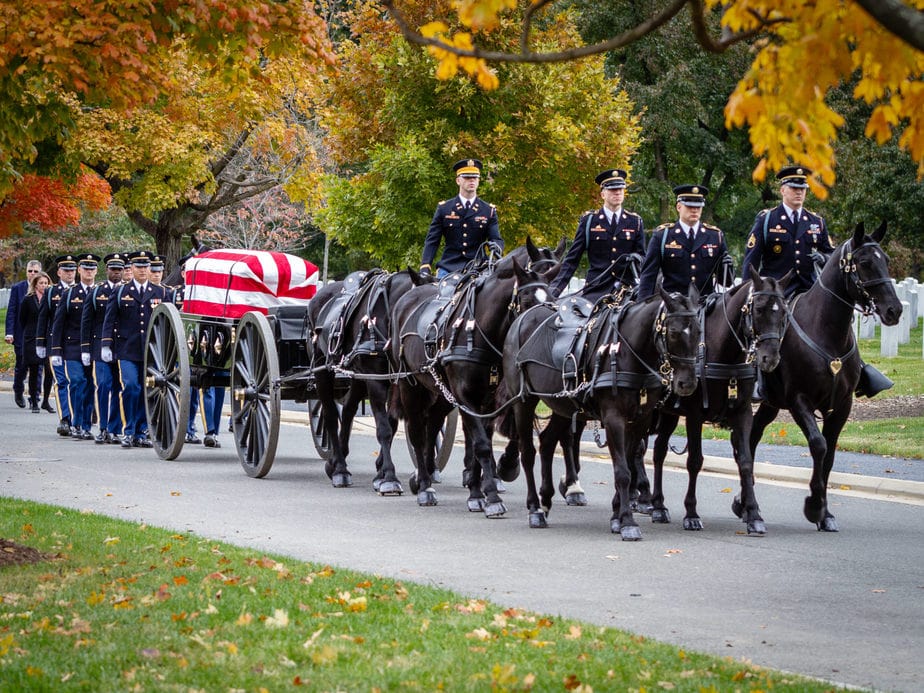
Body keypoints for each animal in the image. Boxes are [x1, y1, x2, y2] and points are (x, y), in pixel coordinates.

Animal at [390, 249, 556, 512]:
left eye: (552, 298)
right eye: (527, 301)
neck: (478, 330)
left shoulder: (489, 400)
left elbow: (479, 443)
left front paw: (478, 493)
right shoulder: (465, 397)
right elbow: (480, 445)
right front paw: (491, 497)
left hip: (441, 392)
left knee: (432, 425)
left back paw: (425, 475)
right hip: (410, 384)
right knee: (417, 431)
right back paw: (425, 486)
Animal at [502, 284, 696, 536]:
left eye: (699, 330)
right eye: (673, 332)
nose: (687, 383)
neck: (626, 351)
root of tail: (522, 318)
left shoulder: (640, 419)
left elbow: (628, 464)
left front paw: (617, 515)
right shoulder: (614, 418)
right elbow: (623, 472)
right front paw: (627, 521)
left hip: (563, 405)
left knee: (546, 442)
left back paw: (546, 500)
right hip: (523, 402)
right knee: (527, 452)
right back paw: (535, 508)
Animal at [644, 268, 796, 532]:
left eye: (784, 312)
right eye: (759, 309)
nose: (770, 358)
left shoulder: (743, 413)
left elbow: (745, 461)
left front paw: (753, 514)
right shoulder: (694, 415)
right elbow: (695, 461)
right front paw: (691, 513)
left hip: (669, 414)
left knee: (659, 451)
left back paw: (658, 505)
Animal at [752, 222, 904, 528]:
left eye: (886, 260)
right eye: (865, 263)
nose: (894, 310)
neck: (826, 331)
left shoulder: (842, 405)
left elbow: (831, 454)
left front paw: (826, 514)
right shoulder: (799, 400)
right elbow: (818, 446)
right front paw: (814, 505)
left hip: (770, 403)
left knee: (752, 436)